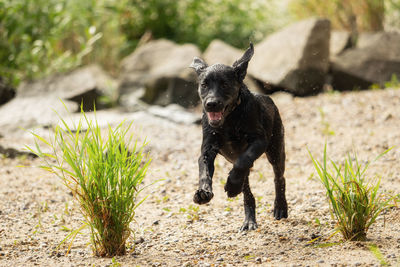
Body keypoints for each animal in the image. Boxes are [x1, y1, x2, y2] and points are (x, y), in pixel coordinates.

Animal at [191, 43, 288, 230]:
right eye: (204, 85)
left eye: (225, 84)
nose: (211, 104)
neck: (230, 120)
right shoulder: (207, 149)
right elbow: (204, 170)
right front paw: (203, 192)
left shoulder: (259, 141)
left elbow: (244, 158)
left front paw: (232, 185)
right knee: (247, 190)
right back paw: (249, 219)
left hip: (276, 150)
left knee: (279, 178)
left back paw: (280, 207)